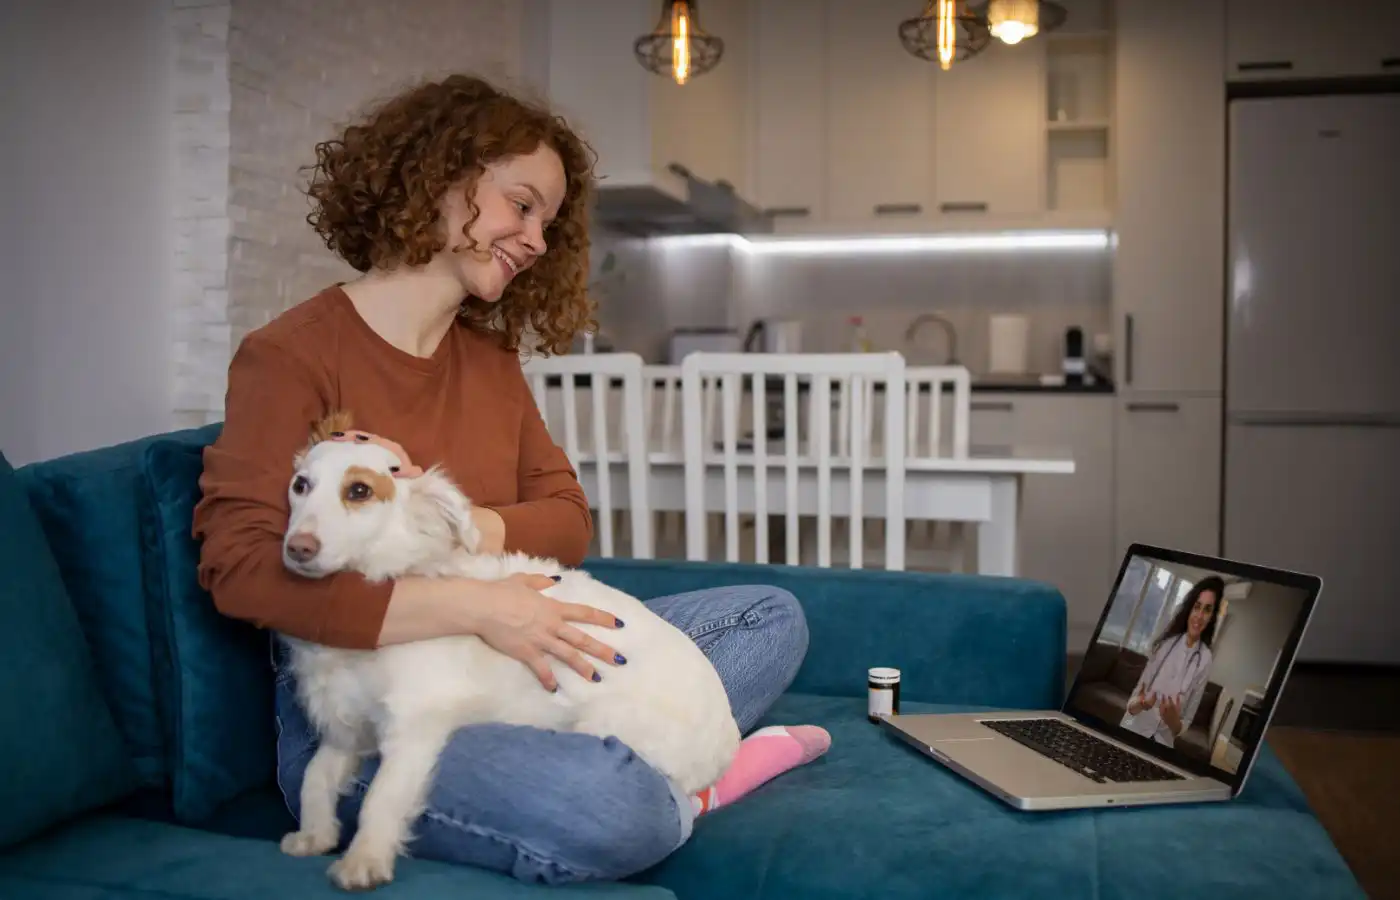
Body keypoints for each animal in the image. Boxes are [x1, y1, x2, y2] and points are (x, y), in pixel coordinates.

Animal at [271, 414, 744, 895]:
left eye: (359, 491)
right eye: (300, 485)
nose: (298, 548)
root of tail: (727, 742)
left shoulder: (414, 726)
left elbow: (381, 797)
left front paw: (364, 860)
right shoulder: (347, 728)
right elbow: (314, 776)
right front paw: (314, 835)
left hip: (604, 726)